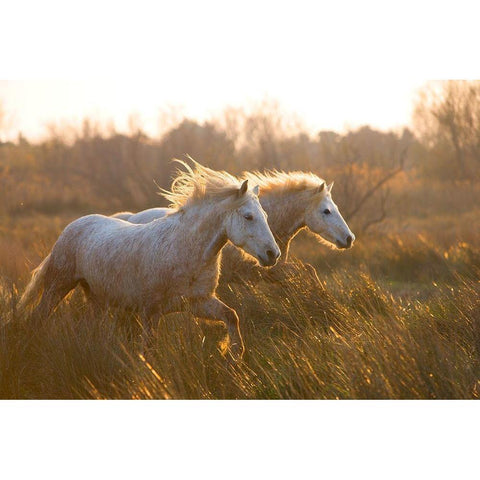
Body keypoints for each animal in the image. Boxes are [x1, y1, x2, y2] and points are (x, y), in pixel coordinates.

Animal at [19, 161, 282, 360]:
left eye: (265, 215)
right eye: (248, 216)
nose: (273, 254)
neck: (183, 250)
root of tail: (72, 227)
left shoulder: (199, 302)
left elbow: (231, 316)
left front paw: (235, 355)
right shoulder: (150, 312)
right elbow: (149, 350)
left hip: (95, 297)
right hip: (58, 286)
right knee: (37, 317)